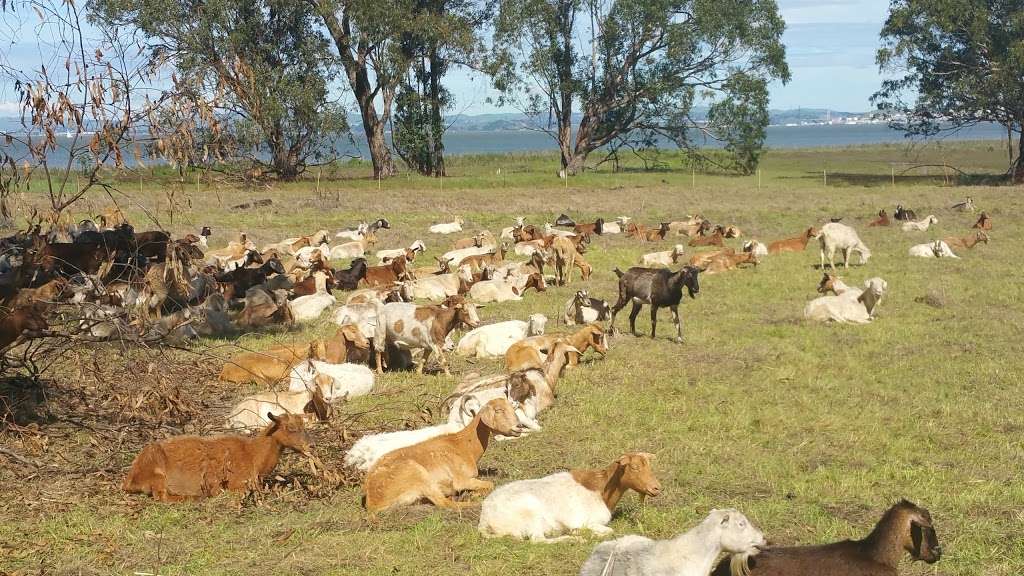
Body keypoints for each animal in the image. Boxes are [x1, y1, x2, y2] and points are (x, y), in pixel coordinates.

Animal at [122, 409, 311, 500]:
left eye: (304, 426)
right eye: (290, 428)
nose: (310, 445)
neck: (252, 454)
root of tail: (129, 480)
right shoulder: (237, 484)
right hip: (157, 473)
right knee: (161, 497)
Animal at [360, 393, 520, 510]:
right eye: (498, 410)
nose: (518, 427)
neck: (463, 445)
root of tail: (373, 501)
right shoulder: (461, 479)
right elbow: (489, 484)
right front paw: (474, 495)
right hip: (420, 475)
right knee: (444, 503)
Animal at [479, 450, 663, 541]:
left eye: (649, 466)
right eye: (635, 467)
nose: (656, 488)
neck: (600, 490)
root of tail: (484, 519)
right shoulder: (585, 520)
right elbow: (609, 531)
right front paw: (585, 533)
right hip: (529, 513)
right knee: (537, 540)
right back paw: (575, 537)